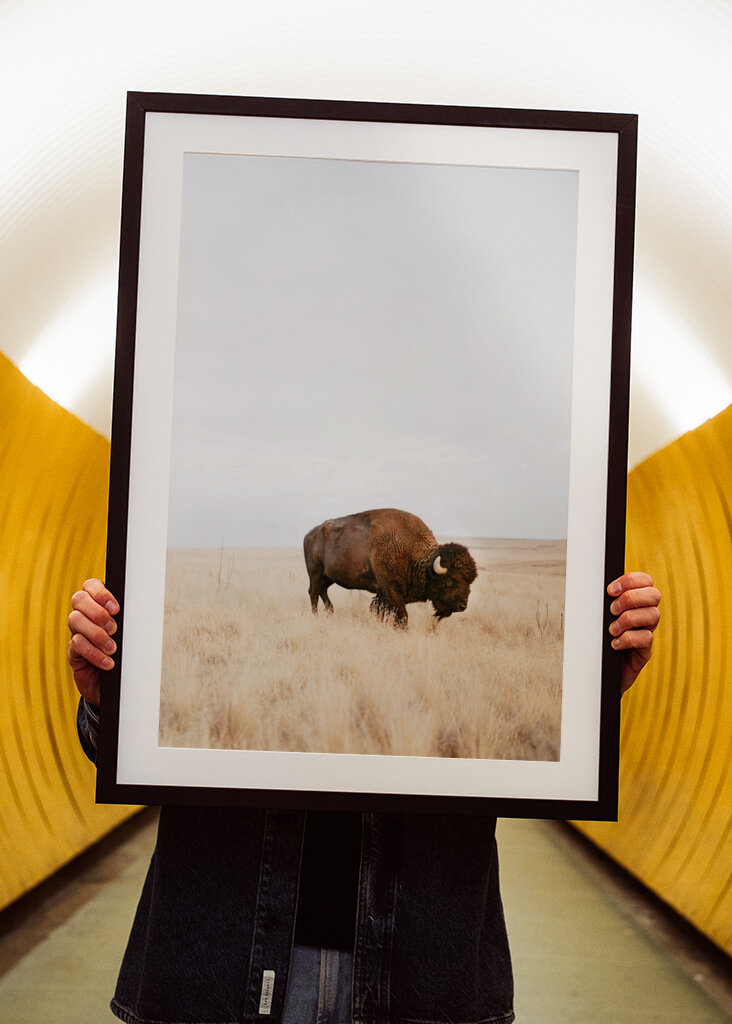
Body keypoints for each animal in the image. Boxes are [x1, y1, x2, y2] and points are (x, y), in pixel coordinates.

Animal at [303, 508, 477, 627]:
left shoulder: (383, 593)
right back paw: (316, 617)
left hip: (328, 576)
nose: (462, 606)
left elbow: (381, 611)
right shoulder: (392, 590)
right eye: (450, 580)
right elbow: (402, 616)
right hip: (315, 573)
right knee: (313, 593)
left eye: (470, 581)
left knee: (323, 591)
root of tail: (309, 535)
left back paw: (330, 613)